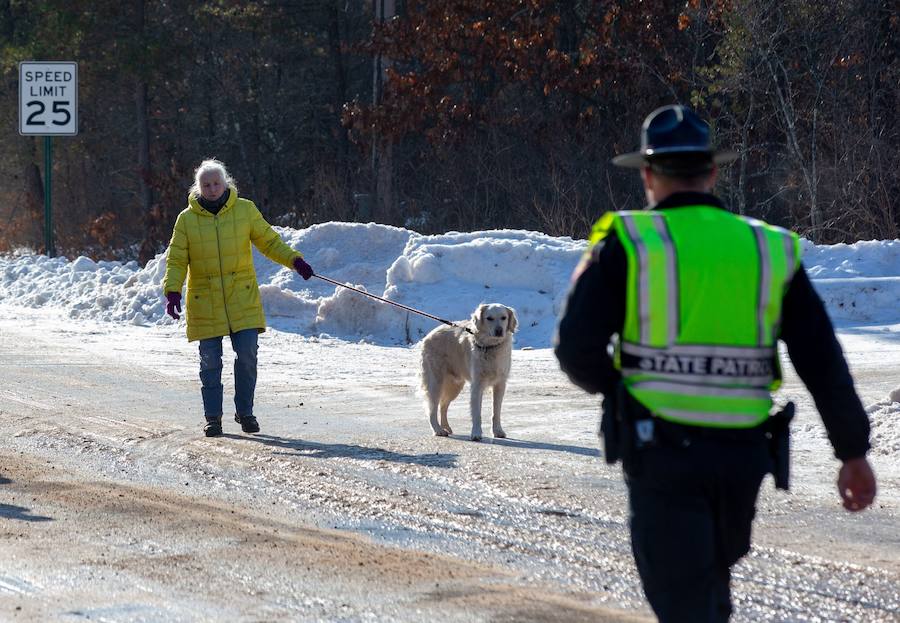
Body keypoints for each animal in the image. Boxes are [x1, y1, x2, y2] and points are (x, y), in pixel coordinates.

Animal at [420, 304, 516, 442]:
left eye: (504, 317)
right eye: (489, 318)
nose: (499, 331)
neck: (490, 346)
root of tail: (427, 336)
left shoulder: (500, 384)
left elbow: (496, 412)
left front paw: (498, 431)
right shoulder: (477, 385)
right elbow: (476, 413)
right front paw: (476, 433)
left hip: (455, 386)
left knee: (443, 405)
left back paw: (446, 427)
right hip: (435, 383)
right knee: (432, 409)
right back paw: (438, 430)